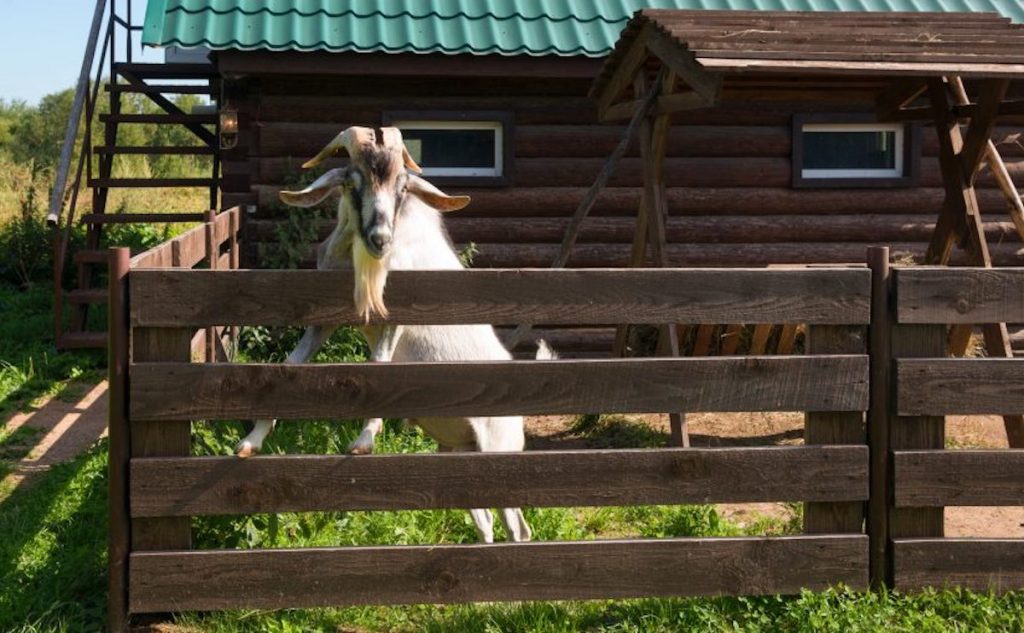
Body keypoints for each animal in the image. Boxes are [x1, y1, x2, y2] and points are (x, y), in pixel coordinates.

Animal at [235, 126, 550, 543]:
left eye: (402, 188)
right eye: (352, 182)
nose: (380, 239)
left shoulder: (396, 317)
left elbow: (378, 366)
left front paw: (363, 442)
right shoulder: (324, 320)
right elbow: (291, 366)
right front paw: (249, 443)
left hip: (497, 450)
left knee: (519, 528)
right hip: (460, 452)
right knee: (485, 521)